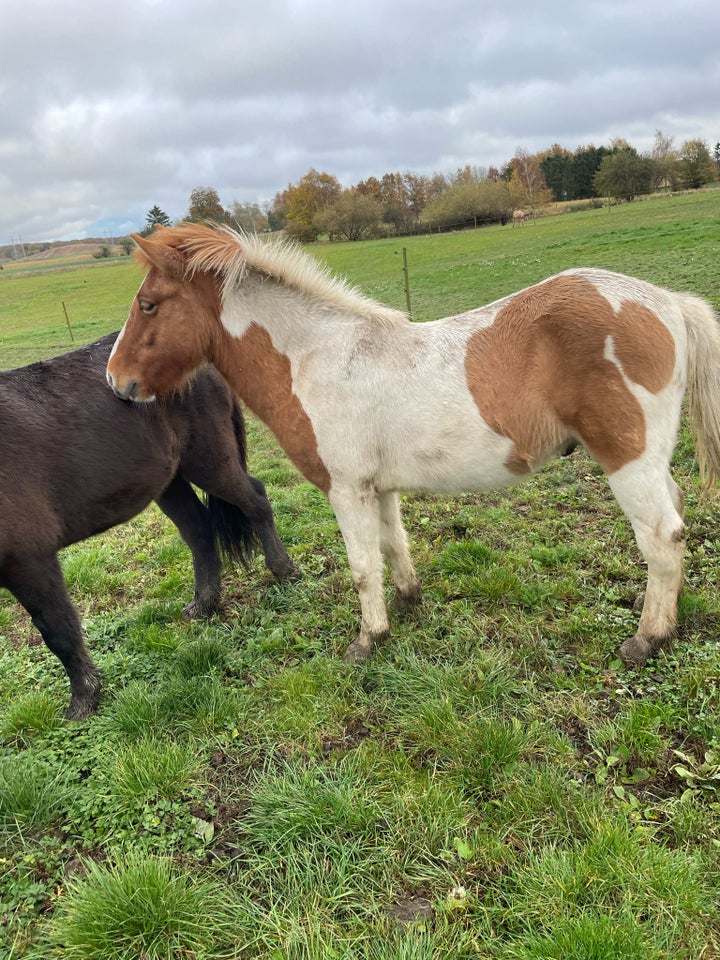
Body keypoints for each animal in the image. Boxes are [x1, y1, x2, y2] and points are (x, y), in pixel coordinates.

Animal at [0, 334, 298, 716]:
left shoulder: (30, 561)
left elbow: (58, 632)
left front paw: (84, 700)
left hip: (209, 462)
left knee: (256, 501)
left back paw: (284, 570)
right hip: (169, 482)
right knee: (200, 531)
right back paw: (204, 604)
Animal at [108, 227, 720, 668]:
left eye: (148, 305)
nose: (117, 382)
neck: (314, 358)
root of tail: (667, 302)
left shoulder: (346, 489)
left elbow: (361, 566)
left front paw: (367, 640)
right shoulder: (378, 488)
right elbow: (393, 547)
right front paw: (406, 604)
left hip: (628, 461)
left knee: (661, 538)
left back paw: (646, 639)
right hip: (651, 462)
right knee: (675, 519)